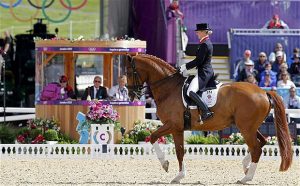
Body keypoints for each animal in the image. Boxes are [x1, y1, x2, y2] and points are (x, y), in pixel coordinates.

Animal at [125, 54, 292, 185]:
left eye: (129, 72)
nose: (132, 95)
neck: (169, 88)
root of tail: (264, 92)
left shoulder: (173, 125)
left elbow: (155, 138)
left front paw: (167, 166)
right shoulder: (177, 128)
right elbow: (178, 150)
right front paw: (178, 175)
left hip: (246, 128)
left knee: (256, 148)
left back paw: (247, 178)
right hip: (248, 126)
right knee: (262, 142)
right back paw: (245, 167)